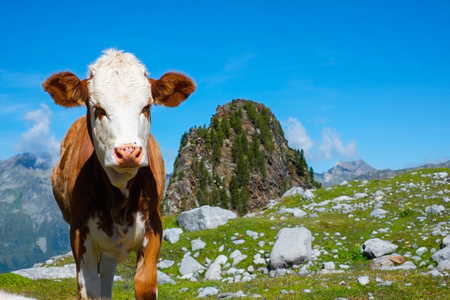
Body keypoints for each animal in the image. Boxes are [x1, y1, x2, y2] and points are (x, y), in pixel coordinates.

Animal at [42, 49, 195, 300]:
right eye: (98, 108)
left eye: (147, 107)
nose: (128, 152)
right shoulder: (78, 231)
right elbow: (89, 287)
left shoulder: (154, 225)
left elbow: (144, 283)